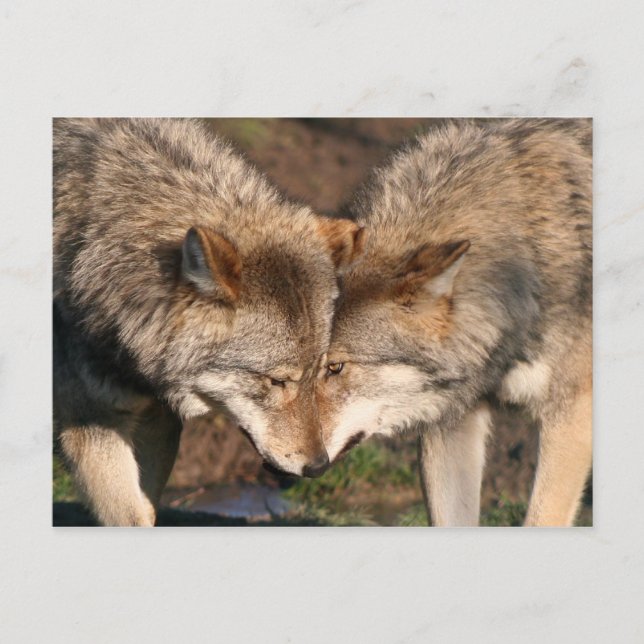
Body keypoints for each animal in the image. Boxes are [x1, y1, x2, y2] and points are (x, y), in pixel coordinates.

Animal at [53, 118, 363, 526]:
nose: (318, 466)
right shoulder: (91, 425)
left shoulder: (159, 420)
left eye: (324, 372)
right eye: (277, 381)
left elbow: (147, 509)